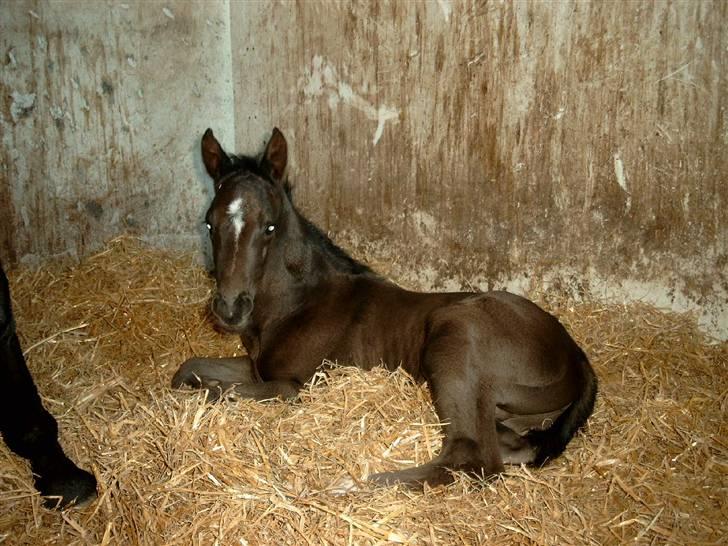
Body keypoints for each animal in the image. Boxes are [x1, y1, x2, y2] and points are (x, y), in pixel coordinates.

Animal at [175, 127, 596, 484]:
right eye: (209, 224)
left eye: (269, 227)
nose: (231, 309)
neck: (296, 304)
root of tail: (575, 355)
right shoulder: (255, 368)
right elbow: (187, 371)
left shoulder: (293, 385)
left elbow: (214, 390)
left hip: (455, 338)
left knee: (472, 457)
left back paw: (356, 485)